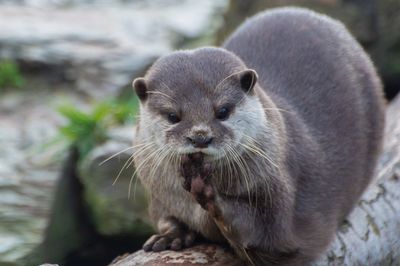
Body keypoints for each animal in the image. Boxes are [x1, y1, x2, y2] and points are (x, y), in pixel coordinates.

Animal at [130, 7, 384, 264]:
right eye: (173, 116)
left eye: (223, 111)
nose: (200, 137)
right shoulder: (160, 194)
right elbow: (165, 217)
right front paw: (171, 235)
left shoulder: (279, 188)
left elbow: (270, 238)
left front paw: (211, 194)